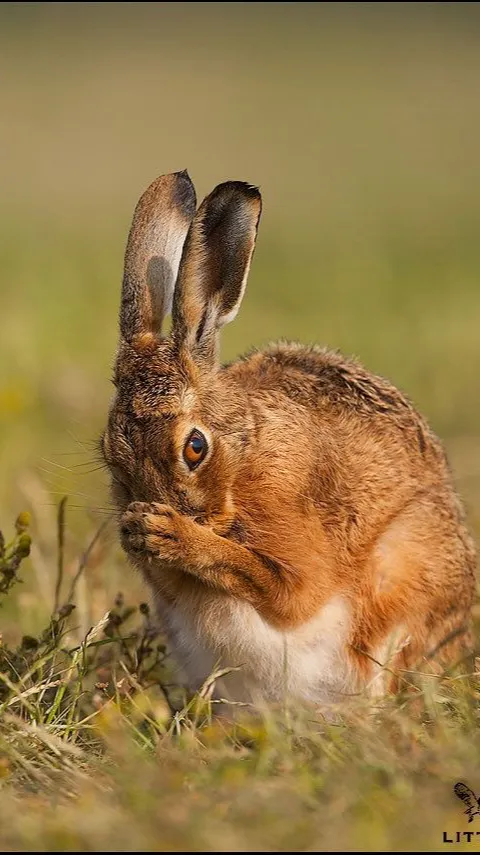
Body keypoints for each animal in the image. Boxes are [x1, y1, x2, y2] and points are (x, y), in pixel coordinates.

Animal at [101, 169, 477, 706]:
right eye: (112, 457)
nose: (146, 517)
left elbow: (285, 591)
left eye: (195, 448)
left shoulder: (297, 537)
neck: (241, 457)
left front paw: (171, 534)